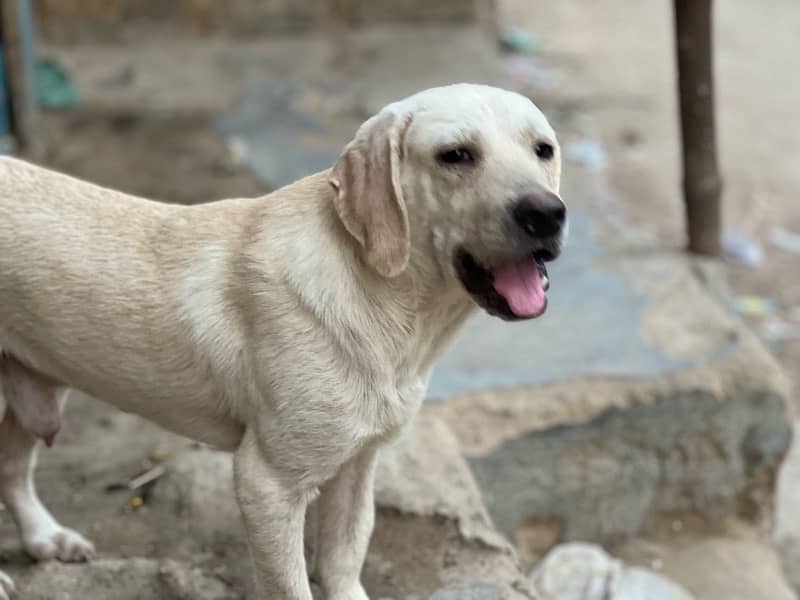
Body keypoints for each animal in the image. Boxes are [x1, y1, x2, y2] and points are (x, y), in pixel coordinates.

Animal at [0, 84, 564, 600]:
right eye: (456, 155)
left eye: (543, 149)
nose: (547, 214)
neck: (385, 304)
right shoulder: (267, 484)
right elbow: (292, 586)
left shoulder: (357, 467)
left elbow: (343, 563)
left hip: (33, 392)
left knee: (13, 470)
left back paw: (46, 538)